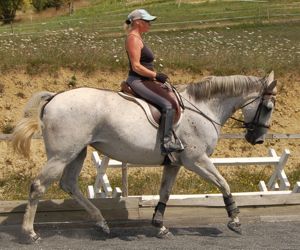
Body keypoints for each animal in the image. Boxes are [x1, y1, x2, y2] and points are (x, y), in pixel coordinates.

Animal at [12, 71, 278, 242]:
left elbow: (165, 192)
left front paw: (159, 226)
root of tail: (55, 96)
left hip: (77, 152)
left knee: (69, 184)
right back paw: (30, 233)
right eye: (268, 107)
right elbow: (224, 183)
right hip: (62, 154)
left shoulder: (175, 163)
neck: (204, 108)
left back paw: (101, 223)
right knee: (38, 186)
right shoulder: (197, 160)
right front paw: (235, 220)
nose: (257, 139)